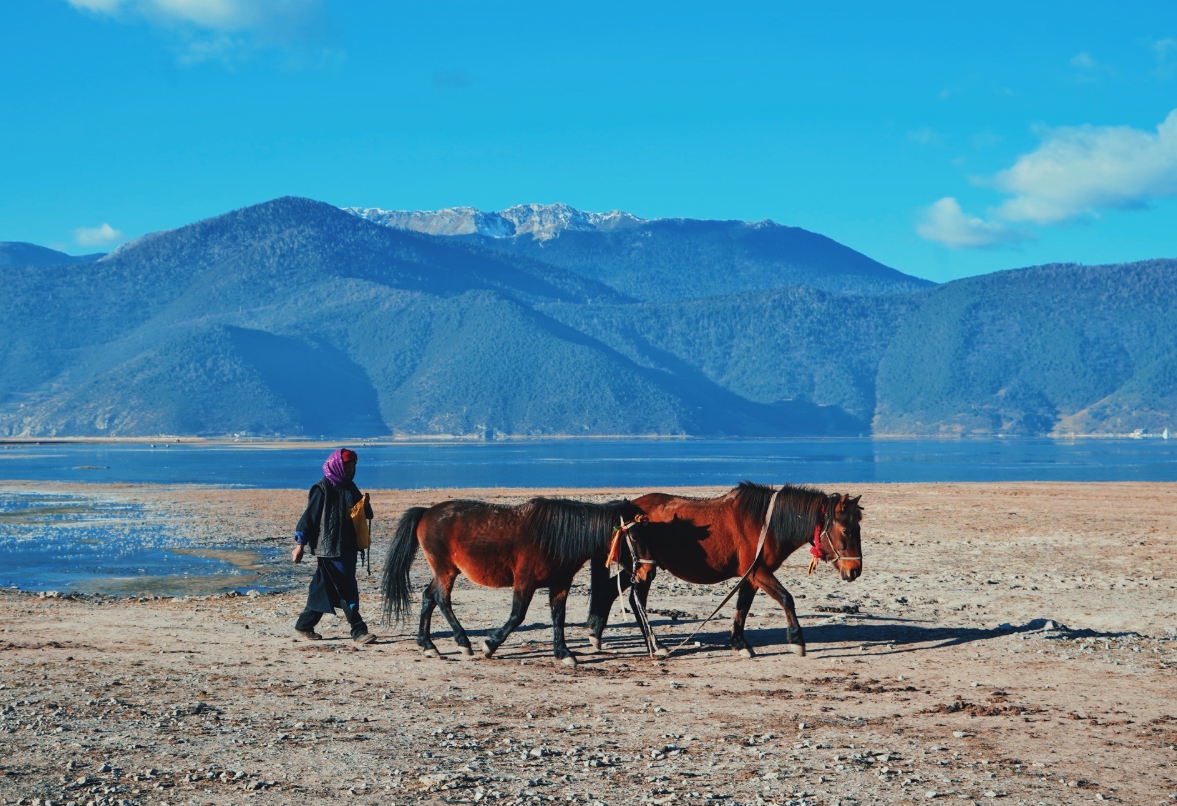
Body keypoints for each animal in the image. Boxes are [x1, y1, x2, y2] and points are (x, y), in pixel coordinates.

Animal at [381, 497, 653, 667]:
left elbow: (558, 617)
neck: (554, 536)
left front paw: (563, 652)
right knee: (441, 599)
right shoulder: (524, 582)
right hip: (446, 571)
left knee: (428, 597)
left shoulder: (560, 584)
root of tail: (426, 512)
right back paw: (463, 642)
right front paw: (489, 645)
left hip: (444, 571)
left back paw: (427, 645)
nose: (647, 572)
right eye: (634, 536)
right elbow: (517, 616)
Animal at [585, 482, 863, 658]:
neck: (766, 523)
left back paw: (597, 635)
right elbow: (786, 599)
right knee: (636, 600)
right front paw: (796, 641)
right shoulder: (759, 572)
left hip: (641, 568)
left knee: (611, 591)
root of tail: (622, 512)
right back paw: (655, 645)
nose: (855, 571)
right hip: (643, 569)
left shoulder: (751, 576)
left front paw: (739, 643)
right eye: (847, 530)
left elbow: (742, 607)